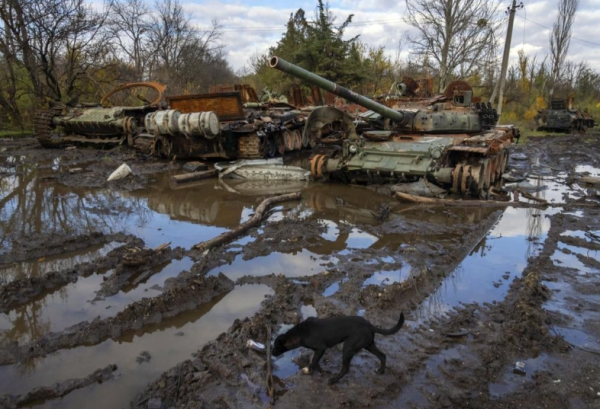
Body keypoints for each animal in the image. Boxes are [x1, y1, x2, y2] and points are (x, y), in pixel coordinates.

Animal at [274, 310, 406, 384]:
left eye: (275, 346)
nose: (272, 353)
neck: (300, 333)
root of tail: (370, 325)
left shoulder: (321, 348)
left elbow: (314, 361)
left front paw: (309, 370)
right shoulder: (318, 351)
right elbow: (315, 360)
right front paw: (319, 371)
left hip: (348, 348)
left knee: (345, 369)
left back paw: (333, 381)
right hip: (368, 345)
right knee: (383, 356)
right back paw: (381, 371)